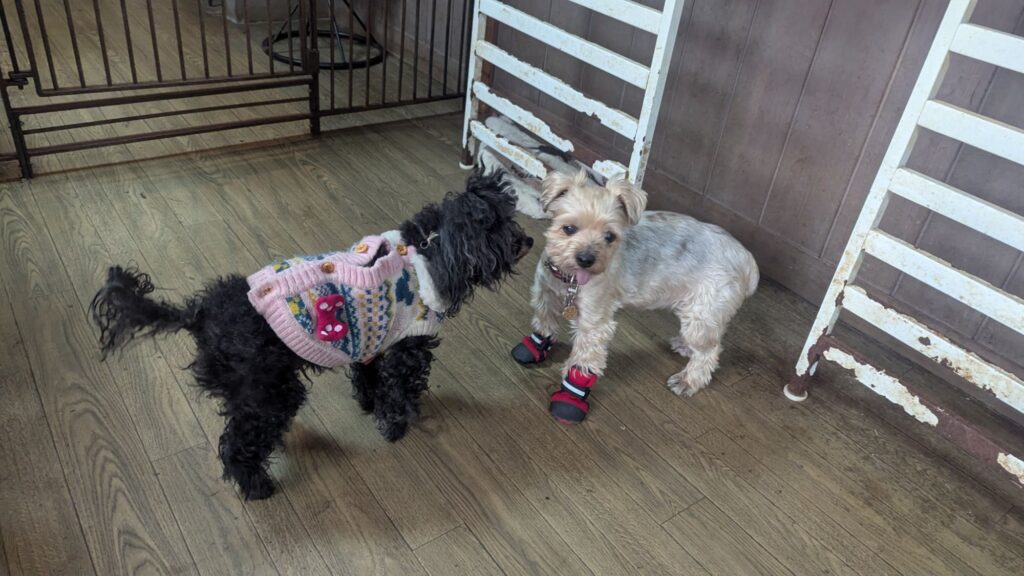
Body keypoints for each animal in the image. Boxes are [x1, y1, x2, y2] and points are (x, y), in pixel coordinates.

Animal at [90, 169, 532, 499]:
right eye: (499, 226)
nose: (528, 240)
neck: (425, 251)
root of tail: (199, 313)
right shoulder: (408, 347)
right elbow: (400, 391)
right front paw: (396, 426)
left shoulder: (371, 339)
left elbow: (368, 378)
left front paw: (368, 405)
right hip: (271, 389)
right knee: (237, 442)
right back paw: (258, 486)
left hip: (250, 387)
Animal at [511, 170, 758, 424]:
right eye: (568, 228)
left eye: (609, 236)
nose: (587, 259)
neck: (569, 279)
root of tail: (746, 258)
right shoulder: (545, 293)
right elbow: (544, 322)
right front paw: (537, 345)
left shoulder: (594, 323)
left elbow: (584, 361)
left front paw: (570, 397)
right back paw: (684, 346)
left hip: (703, 310)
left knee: (710, 351)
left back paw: (688, 380)